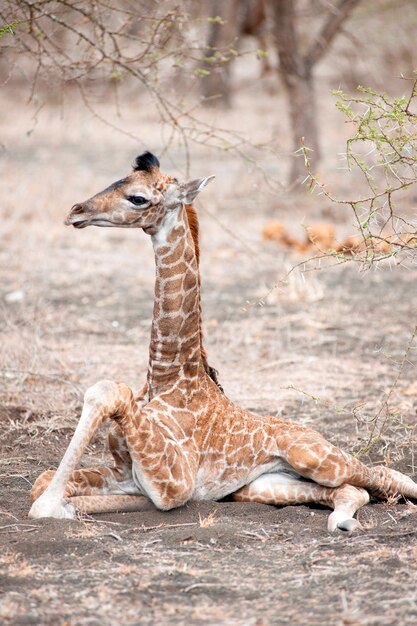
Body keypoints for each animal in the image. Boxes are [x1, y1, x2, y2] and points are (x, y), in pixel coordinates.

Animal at [28, 151, 416, 528]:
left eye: (137, 198)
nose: (76, 211)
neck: (165, 376)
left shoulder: (175, 483)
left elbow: (107, 390)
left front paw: (54, 507)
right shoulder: (126, 474)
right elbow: (41, 481)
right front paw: (65, 504)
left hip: (315, 456)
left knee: (382, 475)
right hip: (262, 486)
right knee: (351, 490)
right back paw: (341, 519)